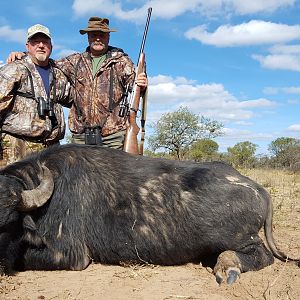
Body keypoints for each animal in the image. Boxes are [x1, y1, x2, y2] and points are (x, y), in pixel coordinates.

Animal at [0, 144, 298, 284]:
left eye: (9, 224)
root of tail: (257, 188)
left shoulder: (71, 255)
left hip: (238, 239)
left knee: (262, 256)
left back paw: (228, 265)